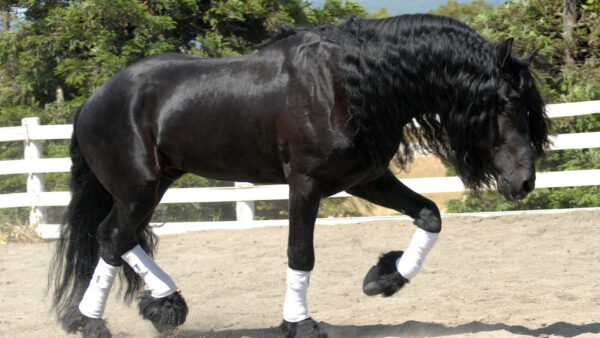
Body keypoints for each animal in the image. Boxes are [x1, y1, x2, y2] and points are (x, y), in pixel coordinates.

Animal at [50, 14, 548, 338]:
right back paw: (93, 320)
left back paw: (163, 305)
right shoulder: (305, 184)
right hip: (138, 187)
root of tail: (93, 100)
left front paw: (384, 278)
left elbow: (430, 215)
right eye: (506, 104)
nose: (524, 182)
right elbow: (300, 254)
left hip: (155, 184)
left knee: (115, 237)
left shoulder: (365, 177)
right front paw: (300, 322)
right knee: (113, 237)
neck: (346, 84)